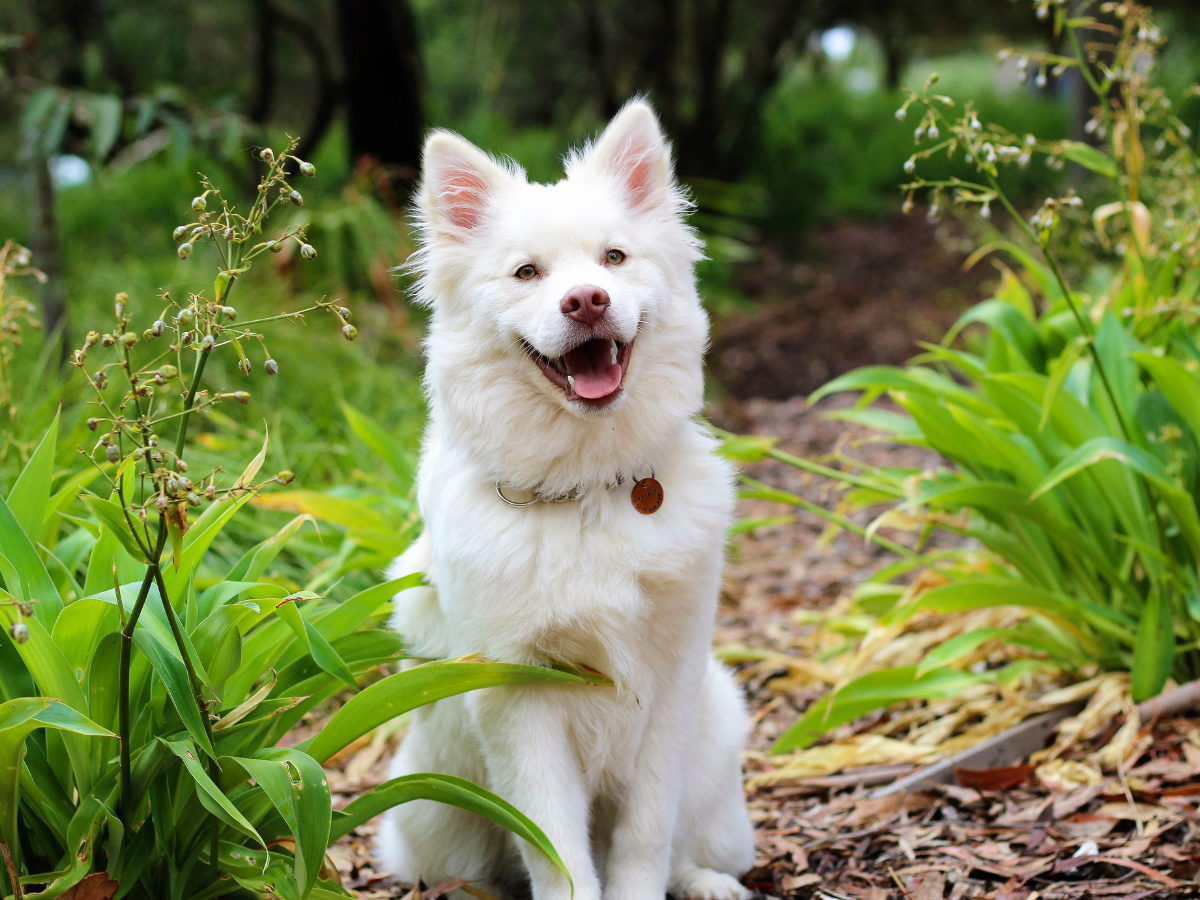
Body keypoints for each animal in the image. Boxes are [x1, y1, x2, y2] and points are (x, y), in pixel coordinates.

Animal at [374, 100, 753, 900]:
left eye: (613, 258)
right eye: (528, 273)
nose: (586, 301)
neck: (587, 489)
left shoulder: (670, 682)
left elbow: (645, 834)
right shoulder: (518, 697)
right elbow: (555, 850)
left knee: (688, 845)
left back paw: (705, 881)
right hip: (431, 808)